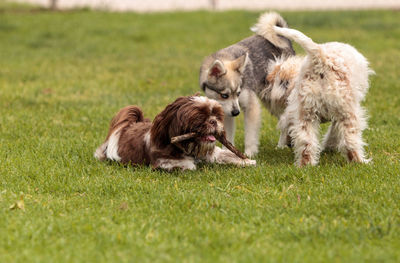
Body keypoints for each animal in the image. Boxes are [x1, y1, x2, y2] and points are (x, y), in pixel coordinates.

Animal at [94, 95, 256, 171]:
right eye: (200, 117)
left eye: (216, 115)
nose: (213, 121)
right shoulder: (163, 161)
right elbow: (187, 164)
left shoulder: (212, 153)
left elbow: (227, 155)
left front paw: (247, 161)